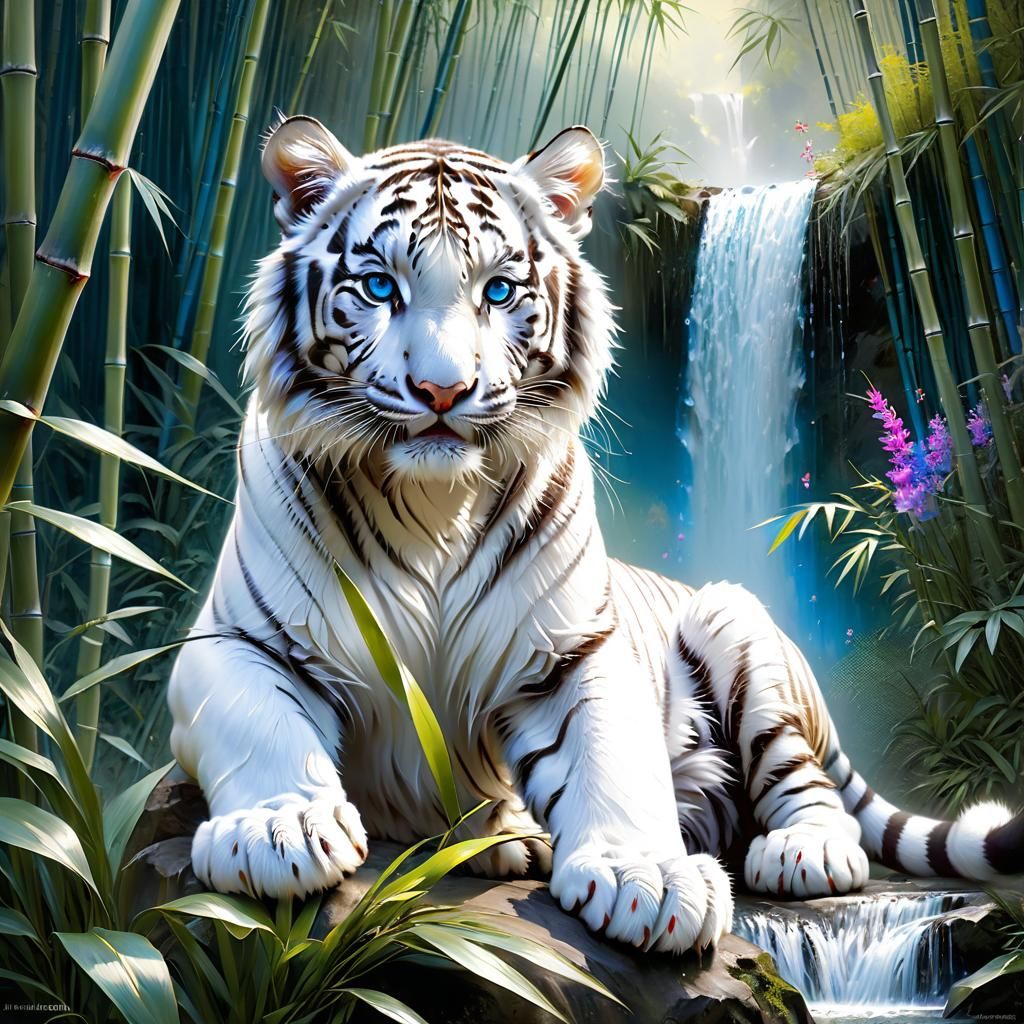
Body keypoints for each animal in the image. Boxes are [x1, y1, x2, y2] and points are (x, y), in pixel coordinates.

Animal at [168, 116, 1023, 955]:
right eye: (380, 286)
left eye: (499, 290)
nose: (442, 390)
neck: (432, 503)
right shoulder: (235, 640)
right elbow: (264, 723)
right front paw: (279, 830)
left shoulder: (574, 650)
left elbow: (613, 758)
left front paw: (648, 878)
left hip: (737, 627)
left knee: (809, 786)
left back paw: (802, 850)